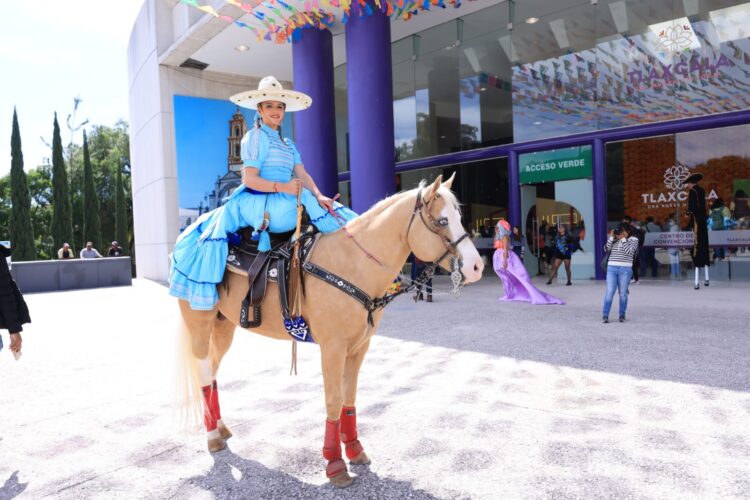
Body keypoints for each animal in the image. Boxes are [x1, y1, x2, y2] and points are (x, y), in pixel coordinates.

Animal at [176, 173, 484, 487]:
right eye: (442, 221)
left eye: (459, 216)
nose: (476, 266)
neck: (353, 264)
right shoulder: (333, 348)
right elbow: (333, 400)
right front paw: (335, 463)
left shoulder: (359, 347)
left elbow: (350, 397)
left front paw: (355, 449)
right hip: (200, 322)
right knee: (203, 371)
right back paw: (212, 437)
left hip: (223, 325)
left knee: (212, 371)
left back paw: (220, 427)